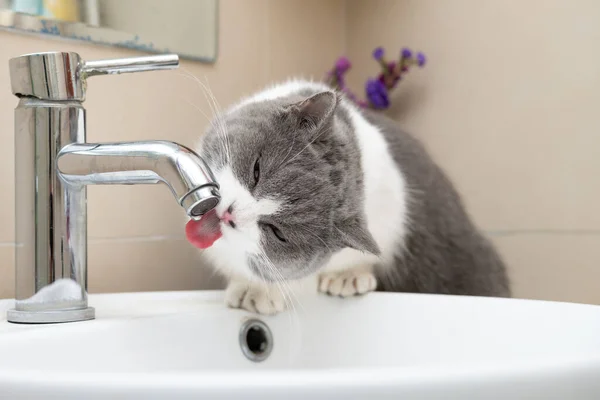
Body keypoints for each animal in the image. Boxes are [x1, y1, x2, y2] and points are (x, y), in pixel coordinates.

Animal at [190, 79, 508, 316]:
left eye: (277, 232)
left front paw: (347, 277)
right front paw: (252, 288)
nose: (230, 212)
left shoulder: (390, 207)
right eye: (256, 171)